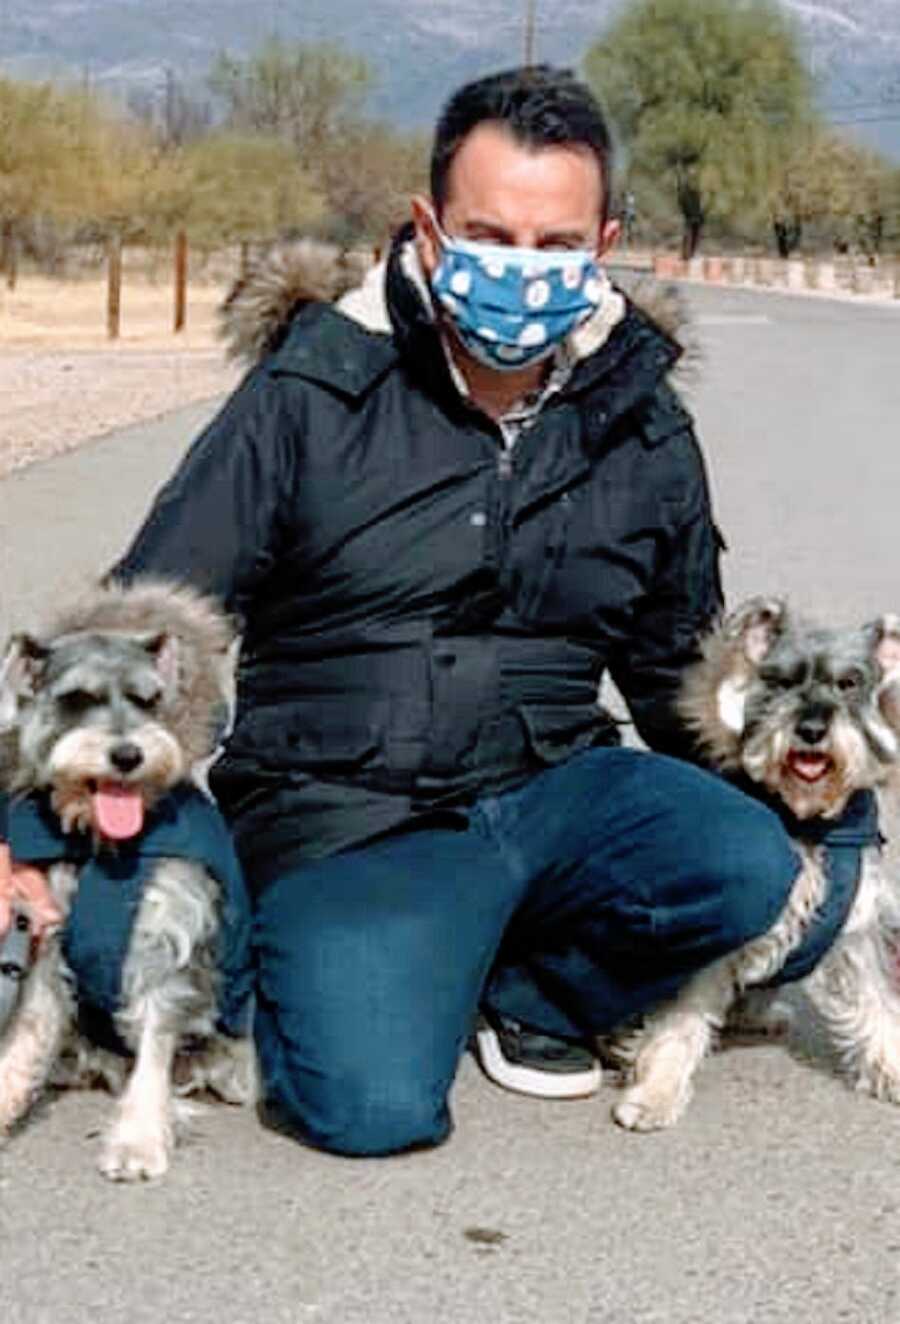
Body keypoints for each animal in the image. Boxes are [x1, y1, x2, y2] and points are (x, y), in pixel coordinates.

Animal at [0, 579, 255, 1181]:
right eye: (76, 698)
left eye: (147, 700)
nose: (127, 754)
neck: (105, 850)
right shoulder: (49, 945)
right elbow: (26, 1030)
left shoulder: (167, 943)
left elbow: (156, 1046)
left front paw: (138, 1139)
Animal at [614, 598, 900, 1128]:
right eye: (781, 682)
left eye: (848, 683)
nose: (811, 730)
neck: (804, 819)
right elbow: (679, 1021)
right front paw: (655, 1093)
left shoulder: (858, 926)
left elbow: (878, 1003)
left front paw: (891, 1068)